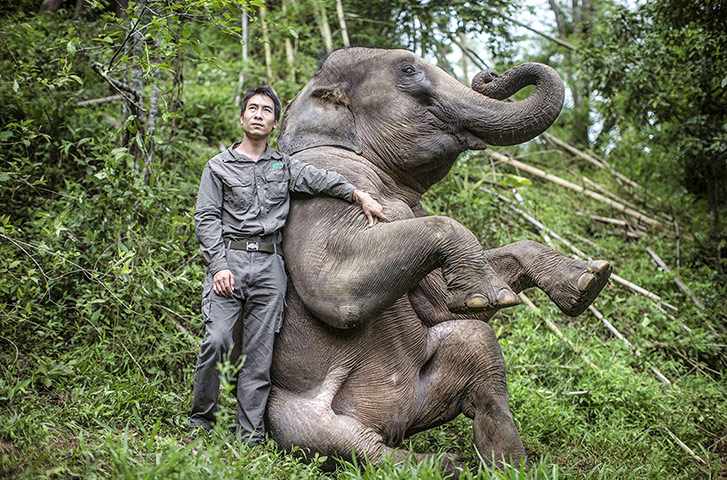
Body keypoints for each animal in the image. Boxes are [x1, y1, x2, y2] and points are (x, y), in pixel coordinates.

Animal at [265, 47, 612, 469]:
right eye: (408, 70)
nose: (488, 74)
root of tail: (394, 422)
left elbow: (444, 305)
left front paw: (590, 280)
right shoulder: (320, 186)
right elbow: (334, 289)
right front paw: (495, 295)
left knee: (478, 355)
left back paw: (504, 467)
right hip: (290, 417)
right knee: (349, 446)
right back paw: (444, 465)